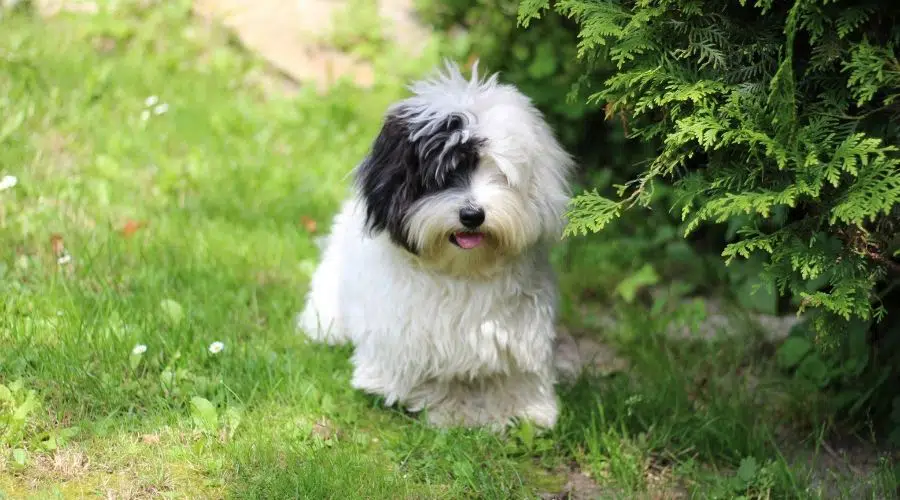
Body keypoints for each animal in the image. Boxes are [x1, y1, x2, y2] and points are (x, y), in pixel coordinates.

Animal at [298, 61, 572, 430]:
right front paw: (452, 411)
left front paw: (528, 410)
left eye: (499, 174)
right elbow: (434, 379)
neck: (463, 271)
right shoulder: (412, 336)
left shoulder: (520, 330)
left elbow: (519, 374)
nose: (472, 215)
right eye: (442, 176)